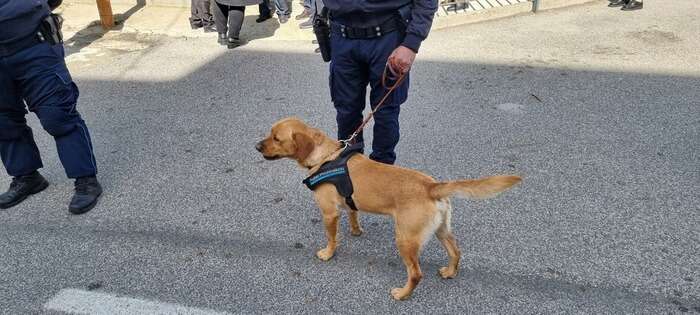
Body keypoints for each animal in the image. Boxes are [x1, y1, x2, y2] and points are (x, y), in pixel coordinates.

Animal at [256, 118, 520, 302]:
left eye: (276, 138)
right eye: (270, 133)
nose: (256, 146)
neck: (327, 157)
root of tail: (431, 186)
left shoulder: (329, 213)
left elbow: (331, 237)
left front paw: (328, 253)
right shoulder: (349, 203)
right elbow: (354, 214)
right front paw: (356, 231)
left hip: (405, 239)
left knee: (416, 274)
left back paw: (402, 294)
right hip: (441, 230)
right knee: (456, 252)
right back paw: (449, 272)